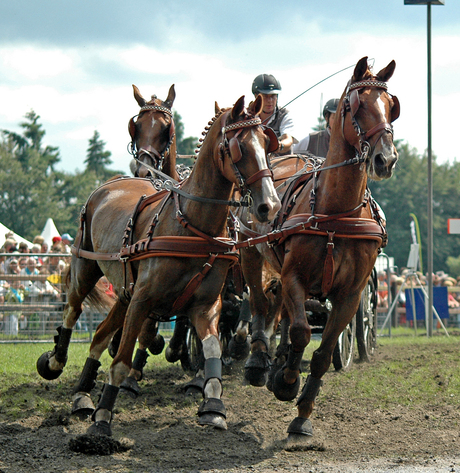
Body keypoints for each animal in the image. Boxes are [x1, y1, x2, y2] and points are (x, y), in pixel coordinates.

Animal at [36, 94, 280, 436]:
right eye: (238, 147)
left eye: (267, 143)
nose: (270, 205)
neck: (192, 226)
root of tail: (110, 185)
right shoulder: (143, 299)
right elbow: (122, 359)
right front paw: (103, 418)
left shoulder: (205, 305)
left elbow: (212, 349)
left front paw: (212, 404)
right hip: (86, 268)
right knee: (73, 310)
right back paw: (56, 362)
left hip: (124, 292)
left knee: (99, 334)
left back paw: (83, 394)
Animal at [237, 56, 398, 442]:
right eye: (357, 106)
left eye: (391, 106)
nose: (386, 159)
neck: (336, 212)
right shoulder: (295, 275)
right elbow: (298, 330)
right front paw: (285, 382)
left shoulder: (350, 294)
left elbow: (324, 352)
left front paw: (302, 417)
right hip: (250, 253)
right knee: (262, 305)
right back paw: (260, 362)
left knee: (280, 310)